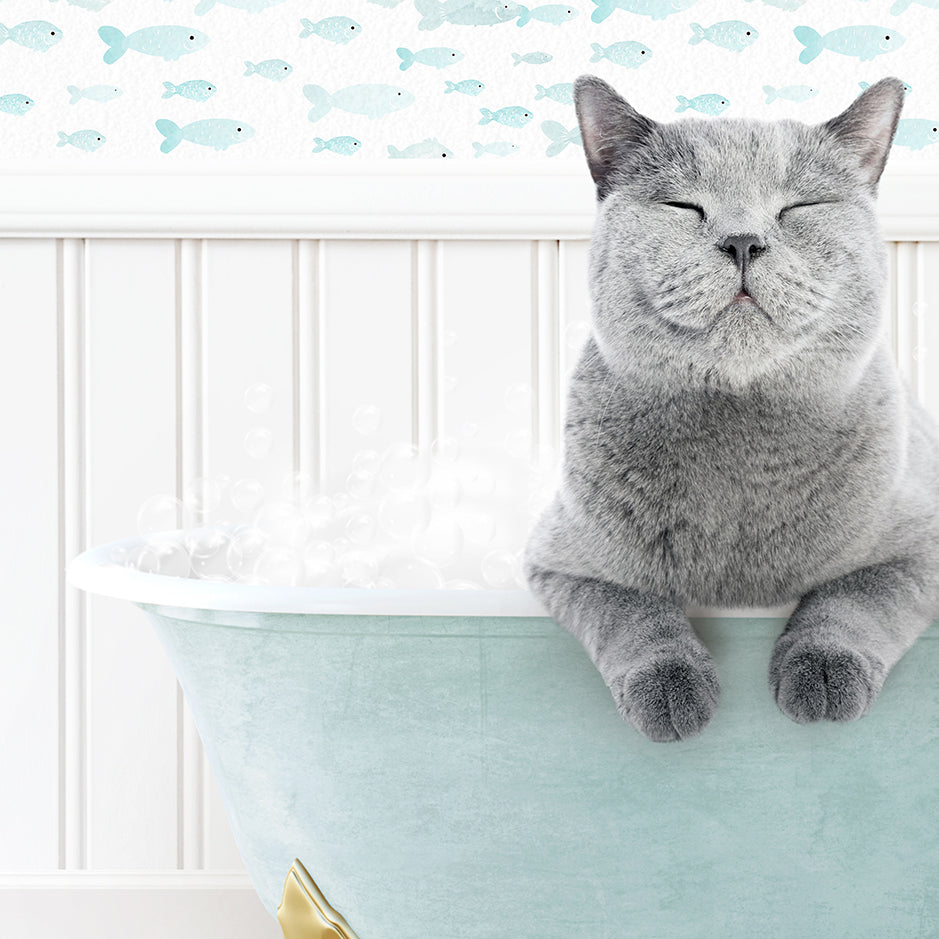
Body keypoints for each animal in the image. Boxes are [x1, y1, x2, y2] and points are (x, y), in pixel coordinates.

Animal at [524, 75, 939, 740]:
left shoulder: (922, 545)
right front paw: (672, 689)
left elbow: (854, 598)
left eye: (798, 208)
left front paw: (822, 675)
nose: (743, 241)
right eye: (683, 207)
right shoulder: (564, 563)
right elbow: (632, 610)